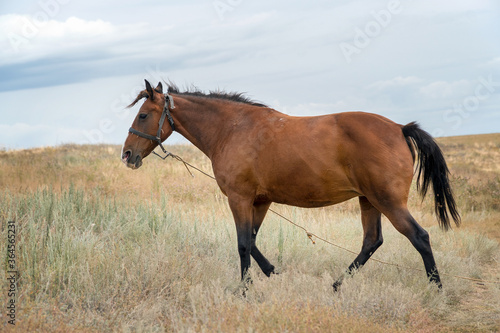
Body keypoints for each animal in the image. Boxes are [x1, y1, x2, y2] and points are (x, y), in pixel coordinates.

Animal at [121, 79, 460, 290]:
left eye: (143, 115)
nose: (127, 155)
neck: (232, 129)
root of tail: (400, 128)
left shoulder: (239, 198)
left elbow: (243, 244)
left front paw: (245, 289)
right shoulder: (260, 201)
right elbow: (253, 242)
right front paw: (273, 272)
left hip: (388, 202)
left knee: (420, 237)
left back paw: (437, 291)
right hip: (369, 201)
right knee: (371, 241)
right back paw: (336, 286)